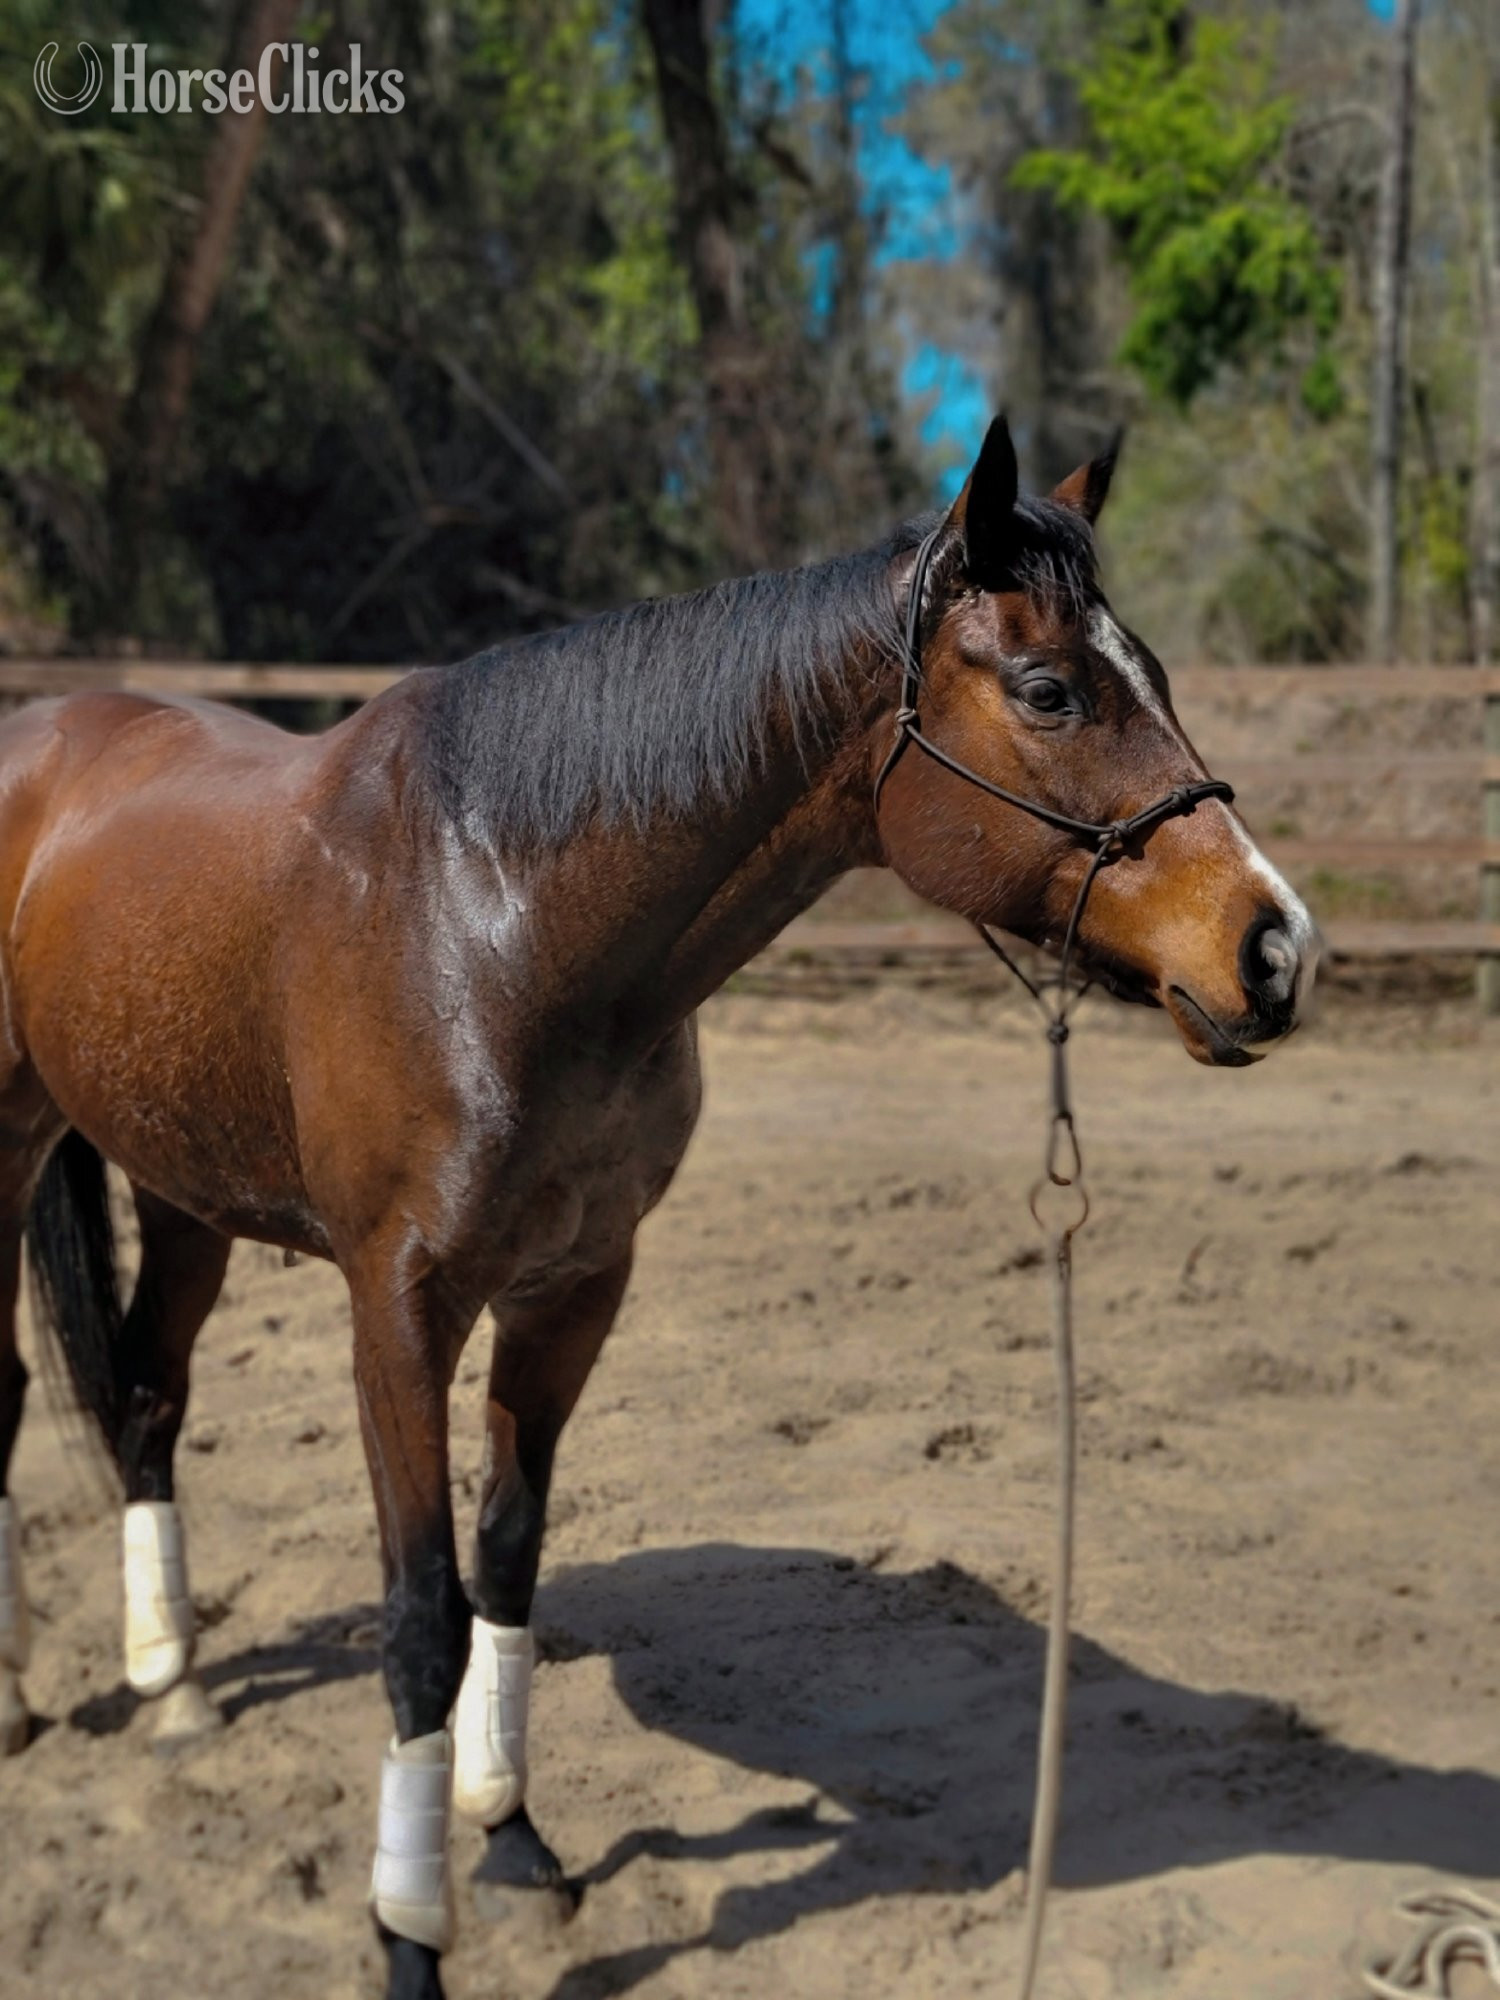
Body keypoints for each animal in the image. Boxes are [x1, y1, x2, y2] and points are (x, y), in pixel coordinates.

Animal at [0, 416, 1316, 2000]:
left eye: (1157, 675)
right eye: (1051, 689)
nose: (1277, 948)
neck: (492, 918)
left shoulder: (575, 1286)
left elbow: (507, 1558)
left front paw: (510, 1839)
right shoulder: (398, 1308)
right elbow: (420, 1614)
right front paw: (409, 1937)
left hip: (185, 1184)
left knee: (145, 1394)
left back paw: (175, 1686)